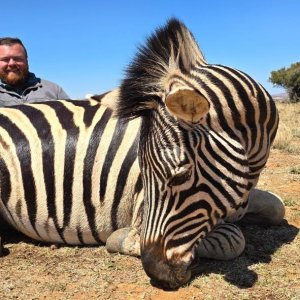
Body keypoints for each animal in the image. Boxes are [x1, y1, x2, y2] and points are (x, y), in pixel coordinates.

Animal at [0, 18, 284, 288]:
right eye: (143, 174)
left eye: (180, 177)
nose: (156, 273)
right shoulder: (141, 206)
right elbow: (233, 239)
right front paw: (124, 239)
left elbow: (276, 207)